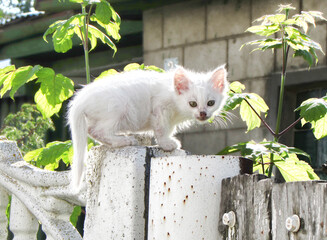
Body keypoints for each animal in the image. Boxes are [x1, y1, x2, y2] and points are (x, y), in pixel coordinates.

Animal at [68, 65, 229, 189]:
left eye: (211, 103)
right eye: (193, 104)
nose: (203, 113)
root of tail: (80, 99)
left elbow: (168, 128)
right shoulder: (159, 107)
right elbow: (161, 128)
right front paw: (166, 144)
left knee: (93, 131)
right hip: (118, 107)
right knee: (97, 130)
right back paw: (124, 140)